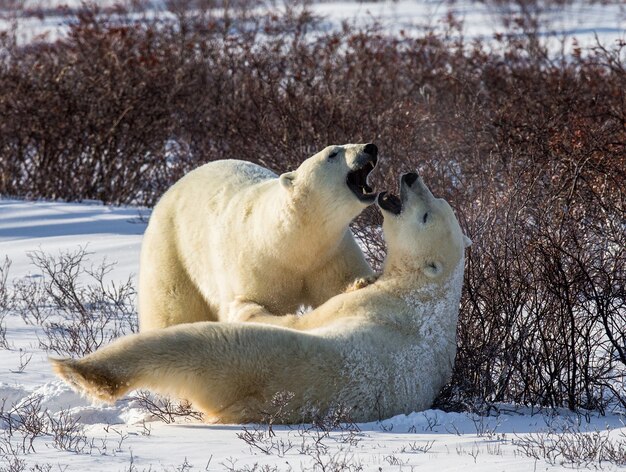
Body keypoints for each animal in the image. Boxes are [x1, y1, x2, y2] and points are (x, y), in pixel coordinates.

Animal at [50, 171, 468, 422]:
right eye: (439, 201)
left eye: (426, 215)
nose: (411, 176)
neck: (423, 292)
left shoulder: (371, 304)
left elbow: (308, 316)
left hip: (260, 361)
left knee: (197, 344)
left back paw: (81, 370)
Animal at [140, 142, 378, 330]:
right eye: (333, 153)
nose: (370, 147)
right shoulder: (256, 263)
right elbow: (248, 305)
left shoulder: (331, 253)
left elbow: (340, 283)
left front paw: (362, 283)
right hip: (172, 248)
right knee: (172, 307)